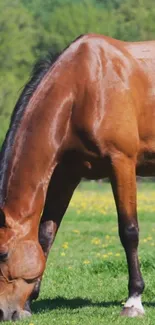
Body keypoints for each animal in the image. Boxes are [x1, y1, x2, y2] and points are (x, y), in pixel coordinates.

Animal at [0, 33, 154, 318]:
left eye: (3, 254)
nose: (5, 312)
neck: (84, 87)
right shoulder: (66, 174)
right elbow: (45, 234)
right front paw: (29, 301)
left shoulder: (122, 163)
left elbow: (129, 231)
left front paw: (133, 300)